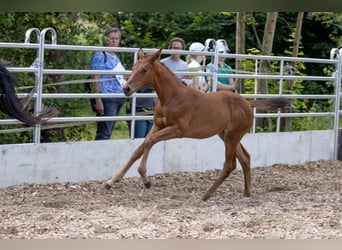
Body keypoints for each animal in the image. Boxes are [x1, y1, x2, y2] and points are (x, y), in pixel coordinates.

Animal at [102, 49, 288, 201]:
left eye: (145, 69)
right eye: (134, 67)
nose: (126, 89)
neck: (171, 97)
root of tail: (249, 104)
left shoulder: (178, 130)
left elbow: (149, 142)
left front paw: (145, 179)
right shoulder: (158, 125)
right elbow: (139, 148)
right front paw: (110, 181)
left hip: (232, 136)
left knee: (230, 165)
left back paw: (206, 195)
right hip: (226, 135)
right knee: (245, 158)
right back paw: (247, 192)